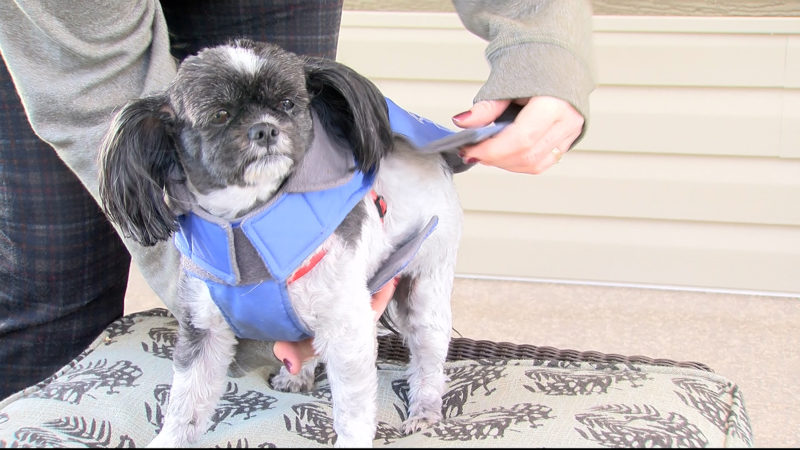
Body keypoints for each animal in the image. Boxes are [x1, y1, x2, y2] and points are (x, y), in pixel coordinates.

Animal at [98, 39, 462, 446]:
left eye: (288, 104)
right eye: (220, 114)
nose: (265, 130)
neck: (247, 223)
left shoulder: (346, 328)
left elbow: (352, 409)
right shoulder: (204, 327)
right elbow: (186, 403)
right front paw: (169, 438)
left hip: (426, 285)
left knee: (428, 359)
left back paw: (424, 412)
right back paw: (296, 374)